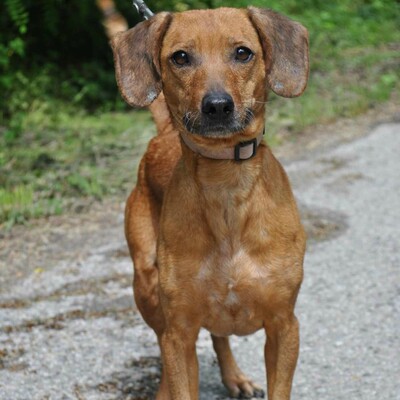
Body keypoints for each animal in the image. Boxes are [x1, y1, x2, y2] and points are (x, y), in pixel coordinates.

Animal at [111, 6, 310, 400]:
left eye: (243, 53)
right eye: (180, 57)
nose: (217, 106)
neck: (226, 189)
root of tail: (163, 134)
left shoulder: (284, 326)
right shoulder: (179, 332)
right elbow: (179, 374)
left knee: (219, 335)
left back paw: (234, 377)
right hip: (147, 286)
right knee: (166, 351)